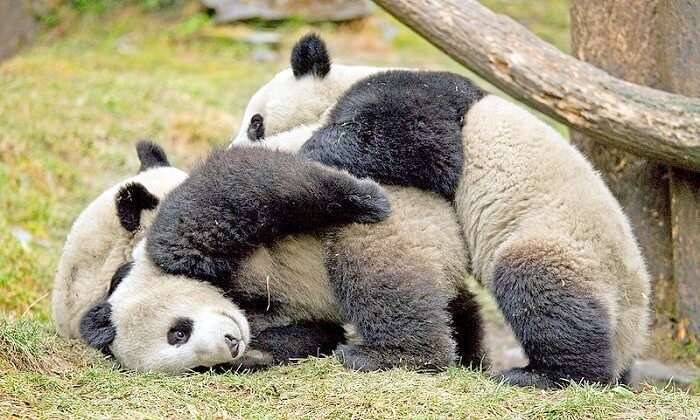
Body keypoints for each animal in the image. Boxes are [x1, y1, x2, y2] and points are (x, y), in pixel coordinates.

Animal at [79, 145, 484, 374]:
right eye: (191, 361)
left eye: (178, 332)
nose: (230, 346)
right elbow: (311, 334)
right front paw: (253, 358)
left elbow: (219, 194)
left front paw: (361, 195)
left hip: (396, 229)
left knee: (377, 277)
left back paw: (394, 355)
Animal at [231, 34, 652, 388]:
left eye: (255, 122)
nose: (236, 145)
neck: (344, 82)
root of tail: (632, 337)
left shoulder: (422, 95)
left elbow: (428, 148)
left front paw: (310, 150)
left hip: (568, 247)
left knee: (540, 288)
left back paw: (544, 375)